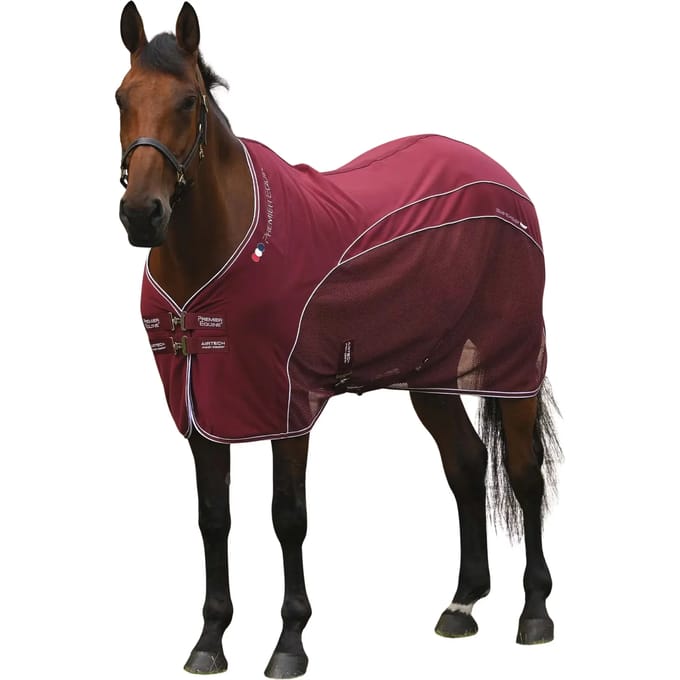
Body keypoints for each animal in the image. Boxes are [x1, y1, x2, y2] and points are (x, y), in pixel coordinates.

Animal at [116, 2, 561, 676]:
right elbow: (213, 517)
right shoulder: (203, 408)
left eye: (189, 101)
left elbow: (287, 517)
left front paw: (289, 643)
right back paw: (461, 605)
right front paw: (210, 640)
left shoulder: (286, 404)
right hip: (429, 375)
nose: (143, 214)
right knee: (465, 462)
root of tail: (502, 178)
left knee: (522, 470)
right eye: (120, 98)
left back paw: (534, 613)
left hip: (512, 368)